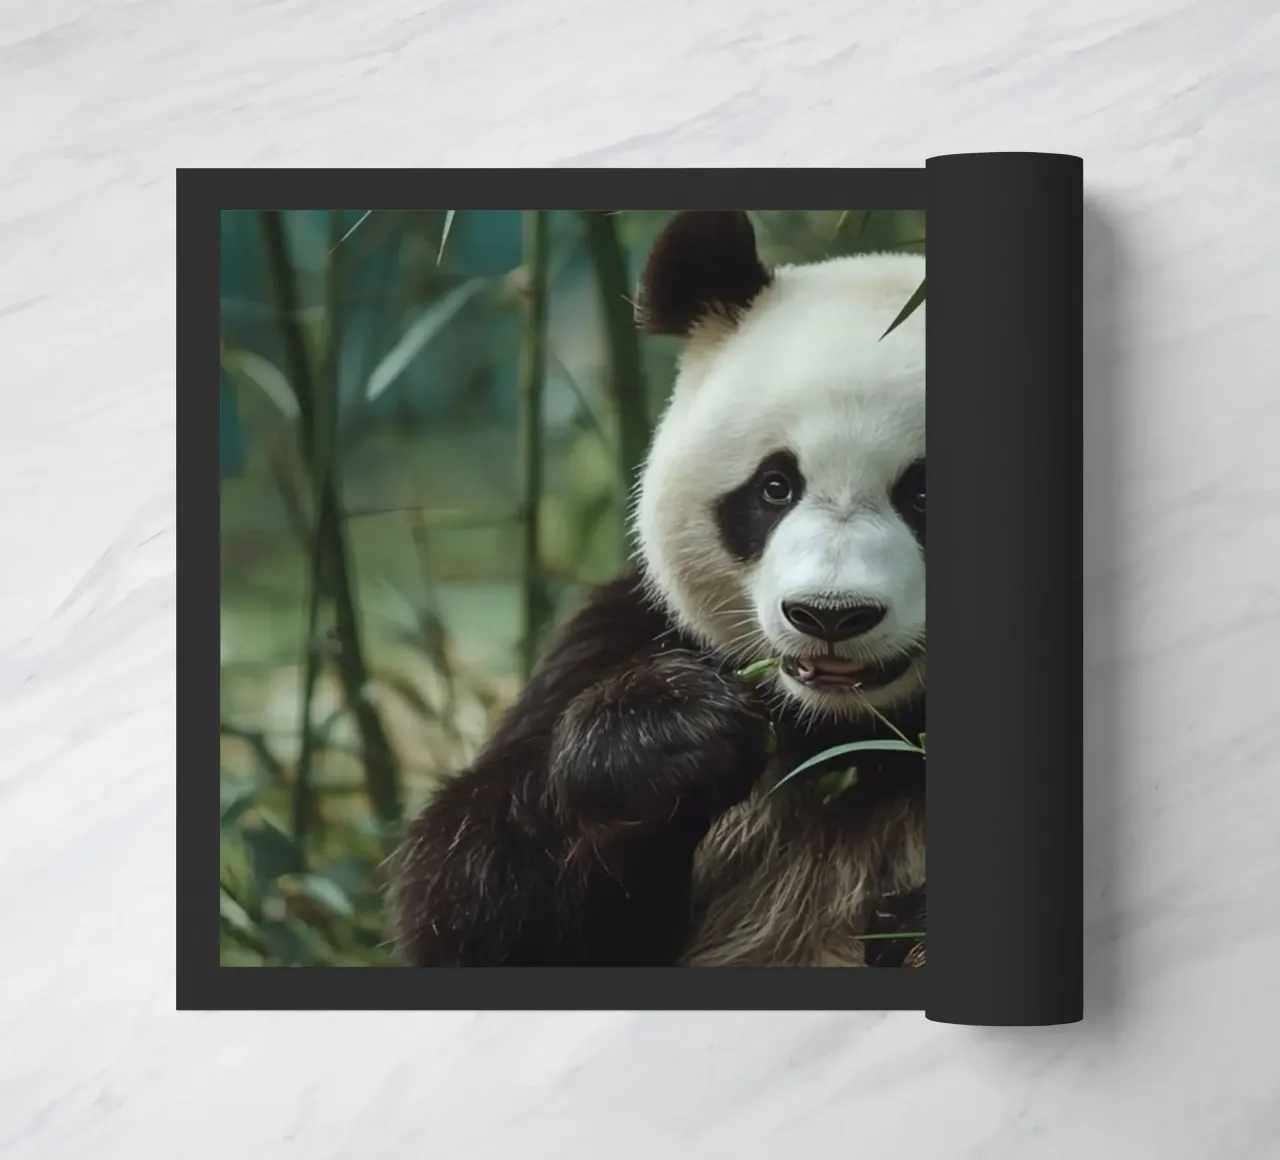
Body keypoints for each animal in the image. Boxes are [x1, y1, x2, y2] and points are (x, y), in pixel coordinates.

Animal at [391, 210, 926, 968]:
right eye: (775, 486)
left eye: (924, 492)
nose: (830, 615)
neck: (852, 730)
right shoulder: (628, 632)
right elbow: (469, 901)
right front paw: (666, 732)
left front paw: (908, 924)